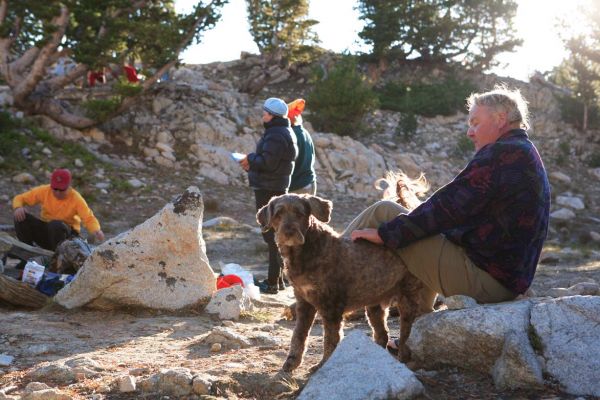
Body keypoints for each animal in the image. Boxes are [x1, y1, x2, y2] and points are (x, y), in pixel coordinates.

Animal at [255, 194, 428, 372]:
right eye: (278, 214)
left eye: (299, 213)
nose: (288, 233)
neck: (306, 252)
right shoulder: (304, 303)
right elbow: (298, 335)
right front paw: (291, 362)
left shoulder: (331, 307)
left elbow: (330, 339)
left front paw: (323, 365)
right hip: (374, 303)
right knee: (382, 334)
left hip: (407, 297)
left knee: (407, 331)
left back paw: (404, 356)